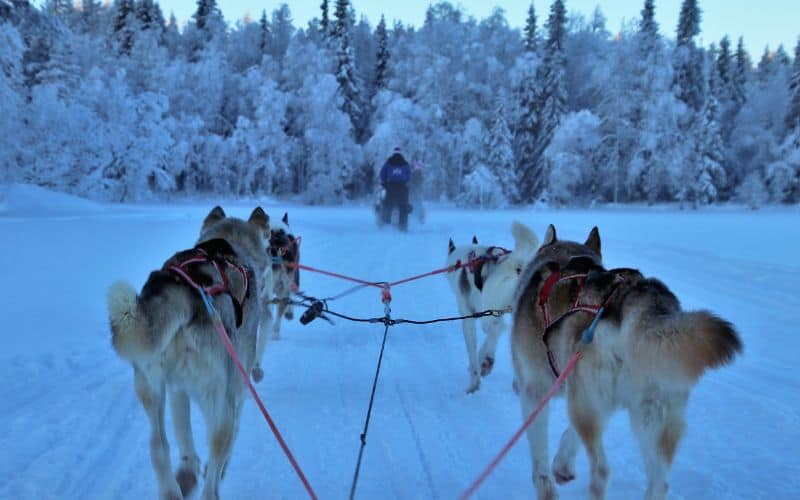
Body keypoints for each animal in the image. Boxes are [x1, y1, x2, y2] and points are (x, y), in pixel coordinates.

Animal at [108, 205, 270, 498]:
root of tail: (186, 292)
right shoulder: (237, 389)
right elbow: (232, 437)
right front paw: (217, 468)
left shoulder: (177, 390)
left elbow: (182, 433)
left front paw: (188, 468)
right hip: (219, 400)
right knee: (215, 463)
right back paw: (210, 483)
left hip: (150, 387)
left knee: (158, 447)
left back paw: (175, 486)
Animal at [446, 221, 540, 392]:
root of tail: (515, 264)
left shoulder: (469, 317)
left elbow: (474, 351)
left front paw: (474, 381)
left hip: (489, 309)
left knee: (498, 328)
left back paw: (486, 361)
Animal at [512, 228, 744, 500]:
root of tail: (636, 301)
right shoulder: (586, 396)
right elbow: (570, 436)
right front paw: (562, 464)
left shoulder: (536, 392)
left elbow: (540, 460)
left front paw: (548, 483)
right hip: (650, 418)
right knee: (659, 483)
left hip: (587, 406)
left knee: (602, 471)